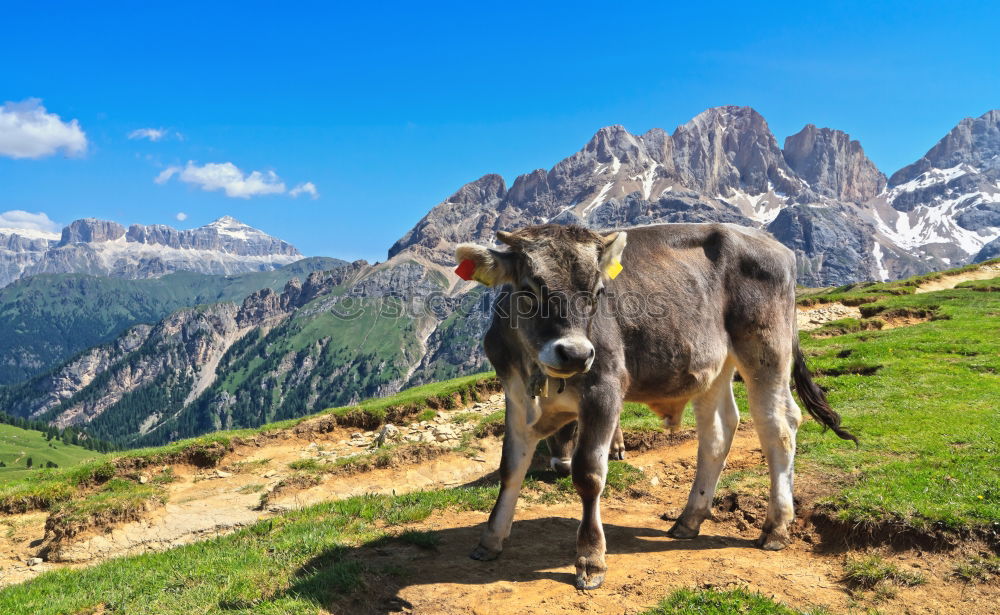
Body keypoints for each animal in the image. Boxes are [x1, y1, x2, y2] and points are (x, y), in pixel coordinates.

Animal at [454, 224, 852, 588]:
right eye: (528, 288)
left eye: (598, 292)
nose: (576, 354)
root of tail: (768, 241)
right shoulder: (516, 394)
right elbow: (510, 467)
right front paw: (490, 539)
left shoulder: (604, 387)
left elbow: (589, 474)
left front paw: (591, 559)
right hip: (714, 364)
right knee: (719, 432)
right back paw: (689, 519)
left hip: (765, 348)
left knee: (779, 427)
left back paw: (776, 527)